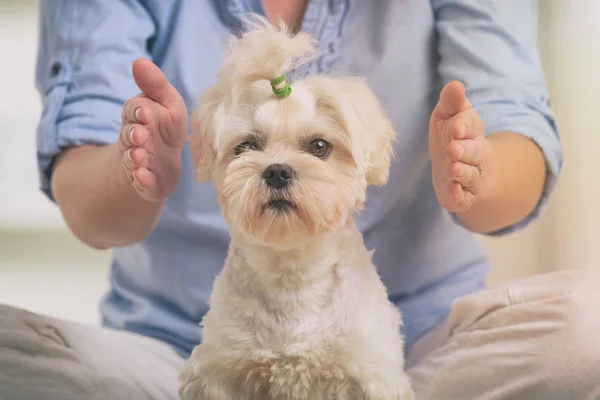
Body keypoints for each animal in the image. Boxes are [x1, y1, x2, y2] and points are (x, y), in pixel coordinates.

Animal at [178, 15, 412, 400]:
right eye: (246, 146)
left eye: (319, 146)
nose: (276, 170)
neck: (292, 276)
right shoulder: (219, 372)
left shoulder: (370, 373)